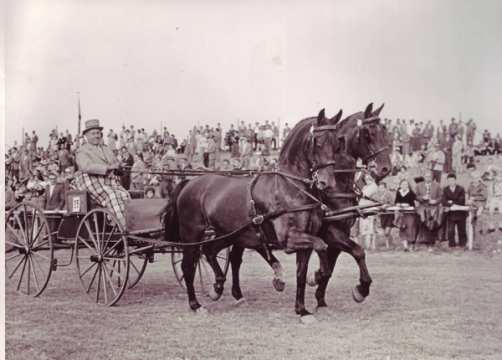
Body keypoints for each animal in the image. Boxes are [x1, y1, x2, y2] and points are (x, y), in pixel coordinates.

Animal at [165, 109, 346, 316]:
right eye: (318, 142)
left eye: (337, 144)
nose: (327, 182)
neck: (289, 188)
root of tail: (189, 182)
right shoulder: (290, 238)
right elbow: (322, 245)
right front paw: (316, 277)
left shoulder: (306, 237)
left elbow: (302, 272)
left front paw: (301, 309)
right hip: (192, 234)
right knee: (188, 266)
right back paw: (196, 304)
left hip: (228, 234)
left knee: (210, 251)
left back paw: (217, 288)